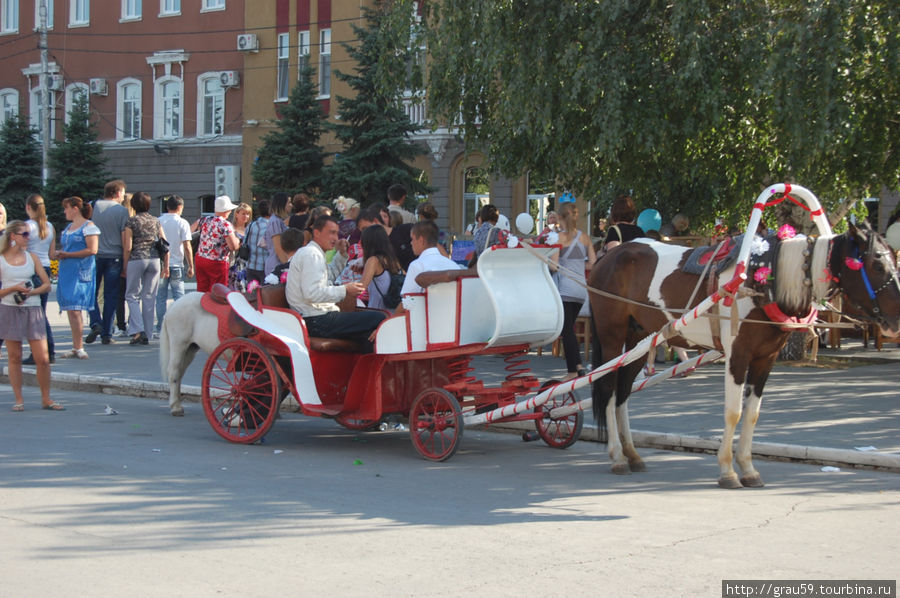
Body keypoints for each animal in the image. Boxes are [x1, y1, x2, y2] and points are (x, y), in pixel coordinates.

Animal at [588, 223, 900, 490]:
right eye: (876, 264)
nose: (894, 322)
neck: (765, 281)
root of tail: (610, 255)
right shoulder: (737, 355)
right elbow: (733, 411)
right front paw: (727, 470)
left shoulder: (765, 359)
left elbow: (752, 413)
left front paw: (748, 469)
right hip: (612, 337)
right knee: (609, 389)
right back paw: (617, 456)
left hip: (639, 341)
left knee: (623, 391)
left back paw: (632, 454)